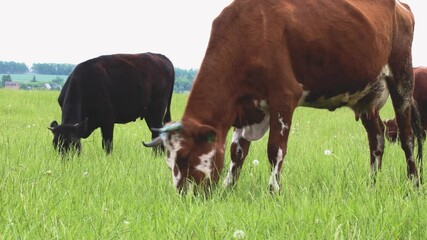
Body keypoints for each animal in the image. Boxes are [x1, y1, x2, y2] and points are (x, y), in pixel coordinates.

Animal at [145, 0, 426, 192]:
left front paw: (273, 191)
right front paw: (228, 188)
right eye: (169, 162)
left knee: (407, 138)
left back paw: (413, 184)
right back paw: (372, 183)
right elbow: (237, 152)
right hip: (366, 97)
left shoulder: (283, 97)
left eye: (184, 157)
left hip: (402, 78)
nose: (184, 196)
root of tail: (401, 6)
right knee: (376, 138)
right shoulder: (246, 107)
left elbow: (275, 149)